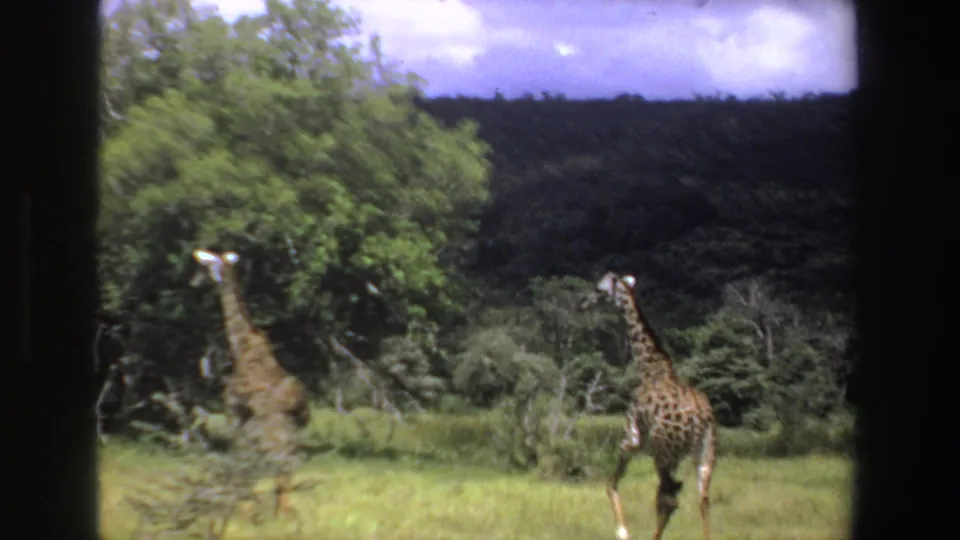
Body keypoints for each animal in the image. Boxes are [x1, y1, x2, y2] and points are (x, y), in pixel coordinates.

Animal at [192, 248, 311, 523]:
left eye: (203, 267)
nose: (193, 283)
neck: (241, 344)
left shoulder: (233, 412)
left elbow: (240, 465)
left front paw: (243, 511)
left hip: (267, 436)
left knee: (273, 469)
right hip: (290, 436)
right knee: (285, 471)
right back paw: (285, 514)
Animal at [587, 272, 716, 540]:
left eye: (600, 290)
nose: (584, 302)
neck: (651, 368)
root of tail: (701, 421)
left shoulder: (631, 438)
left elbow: (611, 485)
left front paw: (622, 531)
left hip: (664, 454)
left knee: (670, 499)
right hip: (704, 454)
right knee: (702, 499)